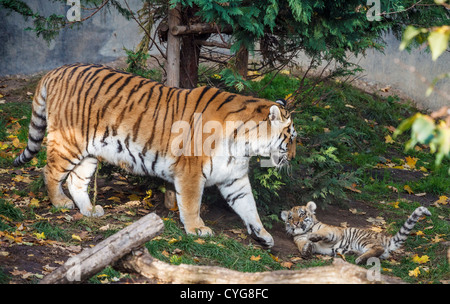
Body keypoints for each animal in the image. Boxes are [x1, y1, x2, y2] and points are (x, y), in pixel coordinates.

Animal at [14, 63, 298, 247]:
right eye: (291, 137)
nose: (294, 157)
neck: (245, 145)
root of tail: (56, 70)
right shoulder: (191, 172)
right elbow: (191, 204)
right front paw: (197, 229)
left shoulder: (234, 178)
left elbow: (249, 207)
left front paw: (262, 234)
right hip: (69, 141)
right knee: (50, 170)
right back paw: (60, 203)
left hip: (90, 151)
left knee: (76, 180)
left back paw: (90, 211)